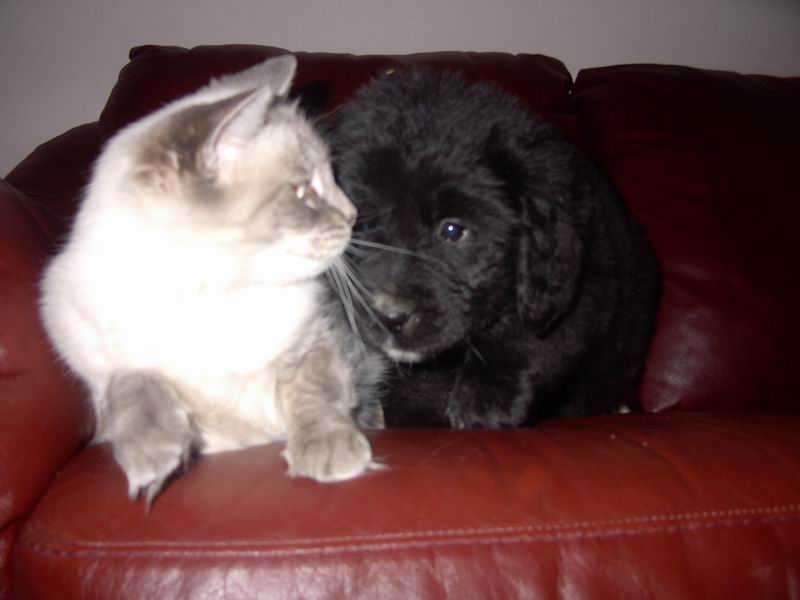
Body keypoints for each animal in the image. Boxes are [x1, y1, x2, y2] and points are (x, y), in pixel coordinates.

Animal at [39, 55, 386, 506]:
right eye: (302, 191)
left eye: (332, 177)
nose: (352, 215)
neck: (213, 299)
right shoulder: (106, 378)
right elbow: (132, 382)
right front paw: (153, 455)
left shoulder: (320, 341)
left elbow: (314, 391)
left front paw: (329, 450)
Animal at [322, 69, 660, 426]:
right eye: (361, 227)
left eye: (453, 230)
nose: (389, 317)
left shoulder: (580, 288)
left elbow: (527, 336)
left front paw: (486, 399)